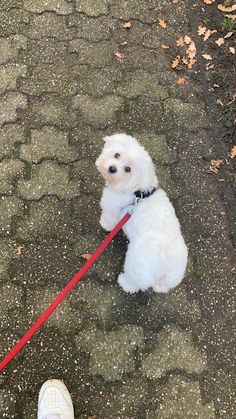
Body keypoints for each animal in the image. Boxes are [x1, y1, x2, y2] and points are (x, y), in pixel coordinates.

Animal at [95, 133, 187, 294]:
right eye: (117, 155)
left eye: (127, 169)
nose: (112, 168)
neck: (138, 192)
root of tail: (164, 270)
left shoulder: (111, 207)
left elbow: (109, 219)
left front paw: (105, 225)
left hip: (134, 266)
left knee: (133, 283)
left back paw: (124, 282)